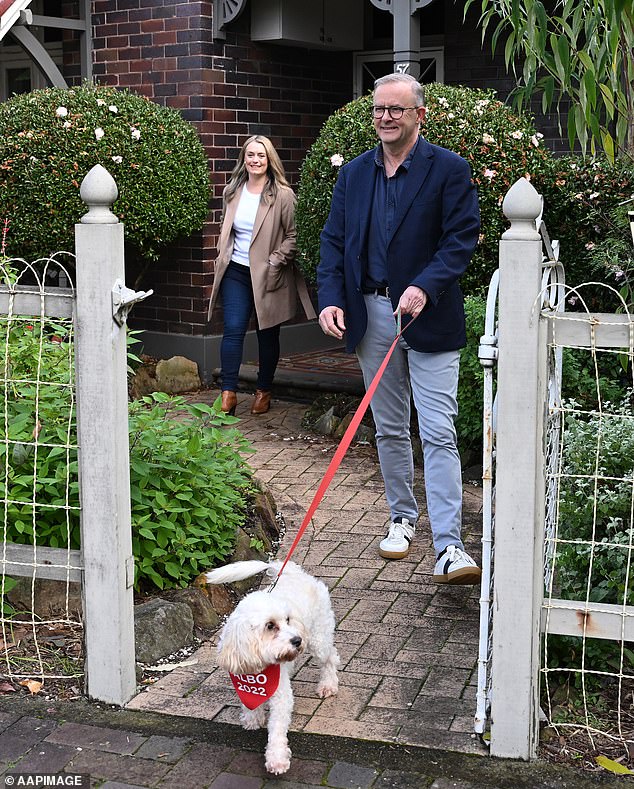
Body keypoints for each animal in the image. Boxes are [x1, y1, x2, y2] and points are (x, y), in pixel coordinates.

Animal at [205, 556, 338, 772]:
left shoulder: (281, 696)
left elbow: (277, 728)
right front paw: (252, 718)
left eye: (288, 620)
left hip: (319, 639)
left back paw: (328, 685)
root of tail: (295, 573)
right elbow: (249, 704)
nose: (297, 640)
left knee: (330, 658)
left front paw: (276, 758)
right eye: (270, 626)